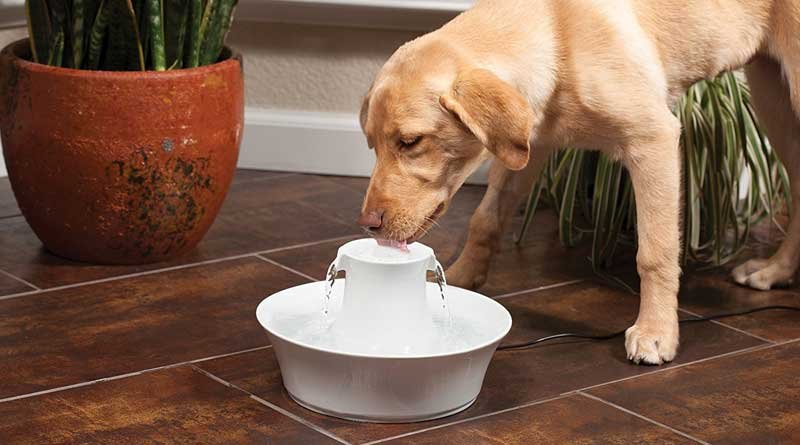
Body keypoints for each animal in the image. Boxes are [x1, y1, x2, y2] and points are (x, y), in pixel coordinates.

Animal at [358, 0, 800, 364]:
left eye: (411, 142)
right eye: (371, 145)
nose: (368, 225)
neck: (558, 37)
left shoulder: (653, 140)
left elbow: (654, 254)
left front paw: (656, 333)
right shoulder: (529, 145)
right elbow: (486, 219)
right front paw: (463, 278)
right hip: (772, 96)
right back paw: (774, 271)